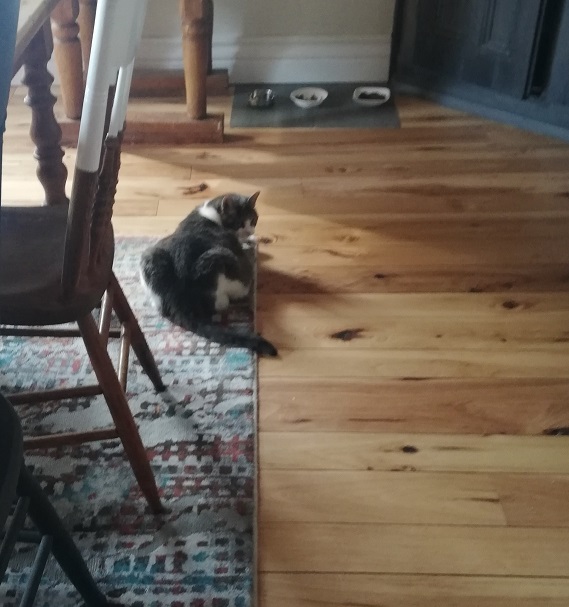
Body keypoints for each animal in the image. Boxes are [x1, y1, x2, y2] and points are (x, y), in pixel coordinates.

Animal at [140, 192, 278, 356]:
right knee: (226, 299)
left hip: (151, 254)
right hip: (222, 259)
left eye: (252, 220)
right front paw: (251, 241)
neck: (213, 213)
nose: (250, 231)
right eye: (240, 223)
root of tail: (177, 301)